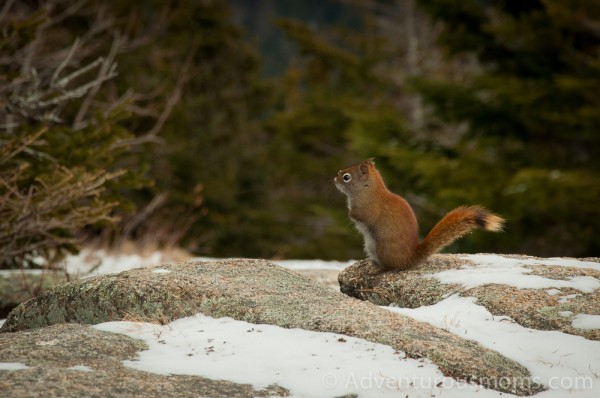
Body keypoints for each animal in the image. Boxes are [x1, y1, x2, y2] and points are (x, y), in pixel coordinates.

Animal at [336, 159, 504, 270]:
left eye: (346, 177)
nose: (335, 178)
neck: (367, 189)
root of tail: (409, 259)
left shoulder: (367, 207)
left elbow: (359, 215)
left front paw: (349, 213)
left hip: (382, 248)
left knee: (391, 268)